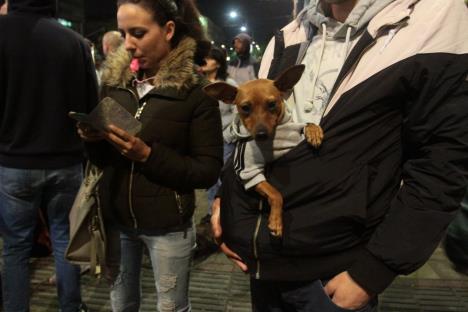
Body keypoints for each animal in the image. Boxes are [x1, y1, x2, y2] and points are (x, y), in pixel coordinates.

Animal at [203, 65, 324, 236]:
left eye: (272, 104)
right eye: (245, 108)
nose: (261, 135)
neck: (272, 139)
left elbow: (306, 125)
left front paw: (314, 131)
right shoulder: (249, 172)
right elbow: (275, 193)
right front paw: (276, 221)